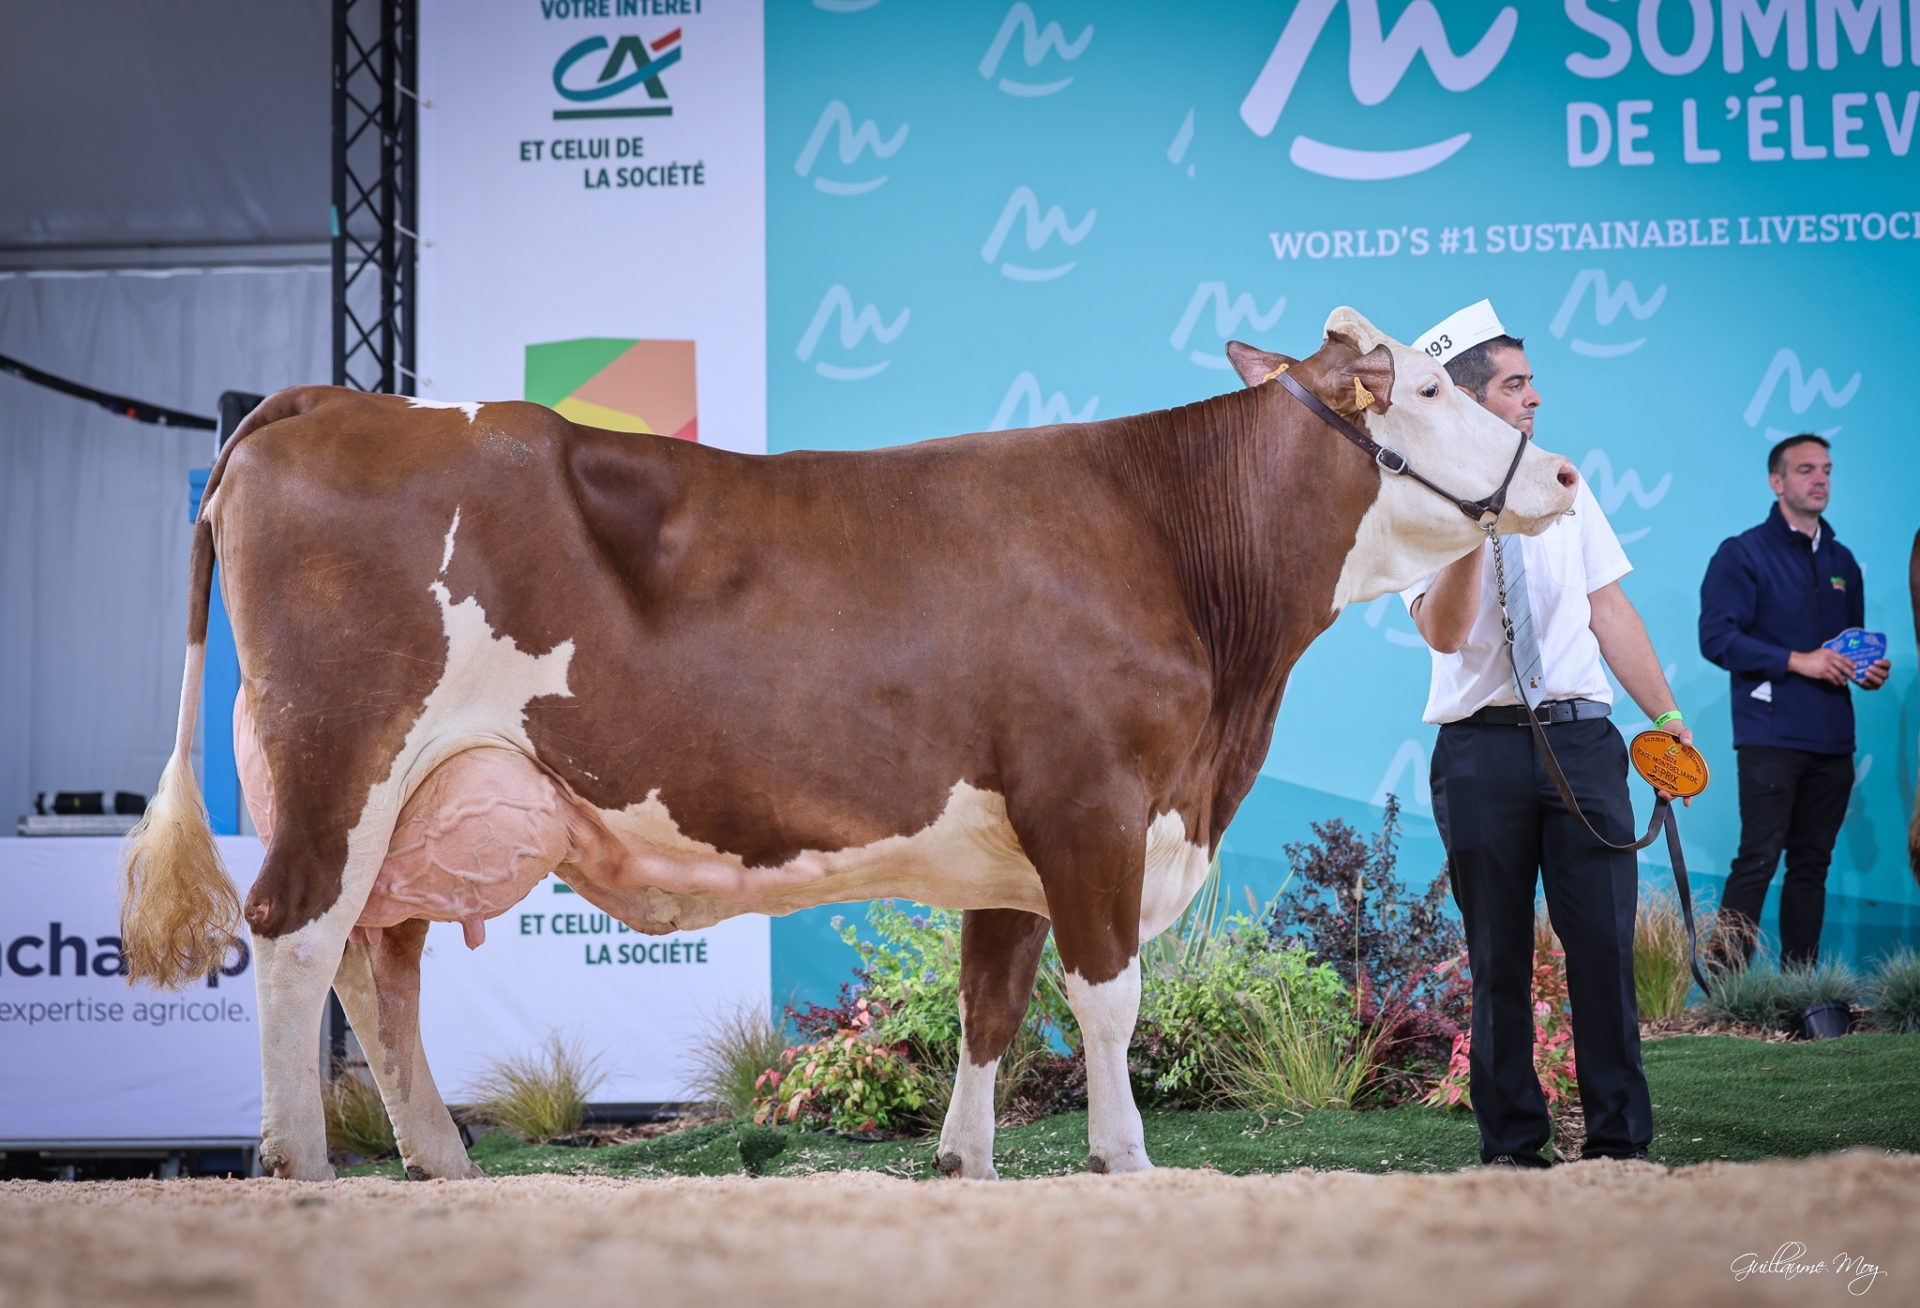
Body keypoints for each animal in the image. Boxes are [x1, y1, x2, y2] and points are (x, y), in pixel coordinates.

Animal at [123, 309, 1574, 1183]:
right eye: (1430, 384)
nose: (1562, 474)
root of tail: (330, 401)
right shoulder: (1094, 800)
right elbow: (1108, 998)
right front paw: (1126, 1158)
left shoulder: (1014, 844)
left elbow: (993, 1004)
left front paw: (967, 1164)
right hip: (341, 760)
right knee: (298, 938)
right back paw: (304, 1163)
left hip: (420, 799)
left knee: (383, 966)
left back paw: (439, 1159)